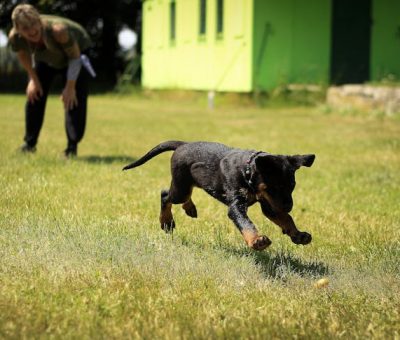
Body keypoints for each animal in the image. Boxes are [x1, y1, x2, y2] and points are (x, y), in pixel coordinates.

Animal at [122, 140, 316, 250]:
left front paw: (298, 235)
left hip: (188, 184)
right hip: (180, 187)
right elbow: (246, 224)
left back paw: (190, 208)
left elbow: (286, 219)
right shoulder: (237, 206)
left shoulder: (270, 205)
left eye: (292, 186)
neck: (247, 171)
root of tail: (182, 144)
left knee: (183, 196)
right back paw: (167, 221)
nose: (289, 206)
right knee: (165, 195)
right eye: (275, 187)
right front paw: (256, 241)